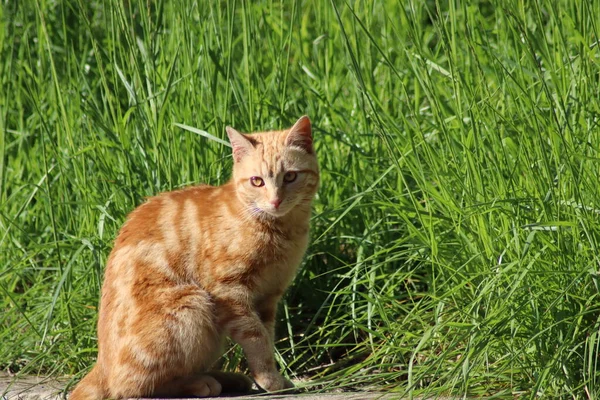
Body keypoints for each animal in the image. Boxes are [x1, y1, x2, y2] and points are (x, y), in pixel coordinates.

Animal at [70, 116, 318, 400]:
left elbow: (267, 335)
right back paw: (204, 383)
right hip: (193, 305)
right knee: (134, 387)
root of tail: (101, 365)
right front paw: (270, 380)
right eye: (257, 181)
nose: (275, 201)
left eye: (290, 176)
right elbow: (256, 339)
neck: (279, 230)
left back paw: (227, 378)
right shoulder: (229, 291)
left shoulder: (267, 298)